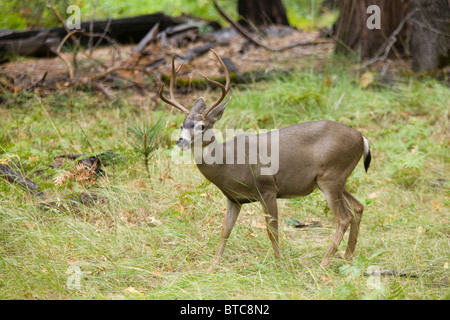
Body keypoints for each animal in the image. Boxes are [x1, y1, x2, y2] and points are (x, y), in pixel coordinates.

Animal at [160, 50, 370, 268]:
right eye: (182, 124)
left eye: (201, 126)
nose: (181, 141)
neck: (229, 163)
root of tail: (362, 138)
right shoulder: (233, 198)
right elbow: (225, 231)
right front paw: (212, 267)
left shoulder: (267, 188)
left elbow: (272, 231)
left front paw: (280, 264)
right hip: (336, 178)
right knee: (358, 207)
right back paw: (348, 257)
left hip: (331, 175)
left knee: (343, 218)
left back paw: (324, 264)